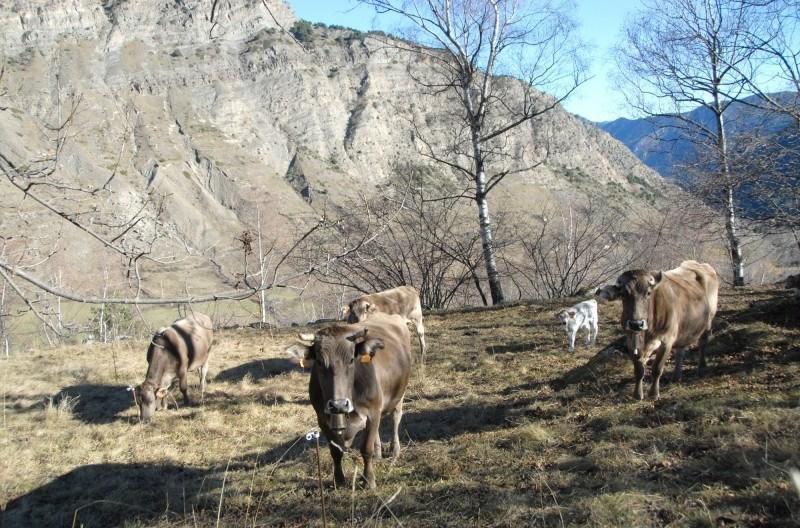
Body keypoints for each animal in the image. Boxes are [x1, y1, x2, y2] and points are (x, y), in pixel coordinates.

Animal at [286, 312, 412, 488]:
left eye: (351, 360)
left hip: (399, 393)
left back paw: (394, 451)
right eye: (319, 362)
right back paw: (379, 452)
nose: (338, 404)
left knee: (395, 418)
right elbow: (335, 452)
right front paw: (338, 480)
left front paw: (368, 480)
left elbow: (366, 449)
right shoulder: (322, 419)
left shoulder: (373, 411)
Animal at [592, 260, 720, 400]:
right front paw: (637, 394)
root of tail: (697, 263)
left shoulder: (667, 341)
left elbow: (657, 368)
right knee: (681, 350)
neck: (646, 334)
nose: (636, 324)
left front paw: (654, 394)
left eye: (648, 293)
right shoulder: (630, 341)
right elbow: (638, 370)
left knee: (703, 343)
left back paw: (701, 368)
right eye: (623, 294)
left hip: (708, 321)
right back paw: (677, 376)